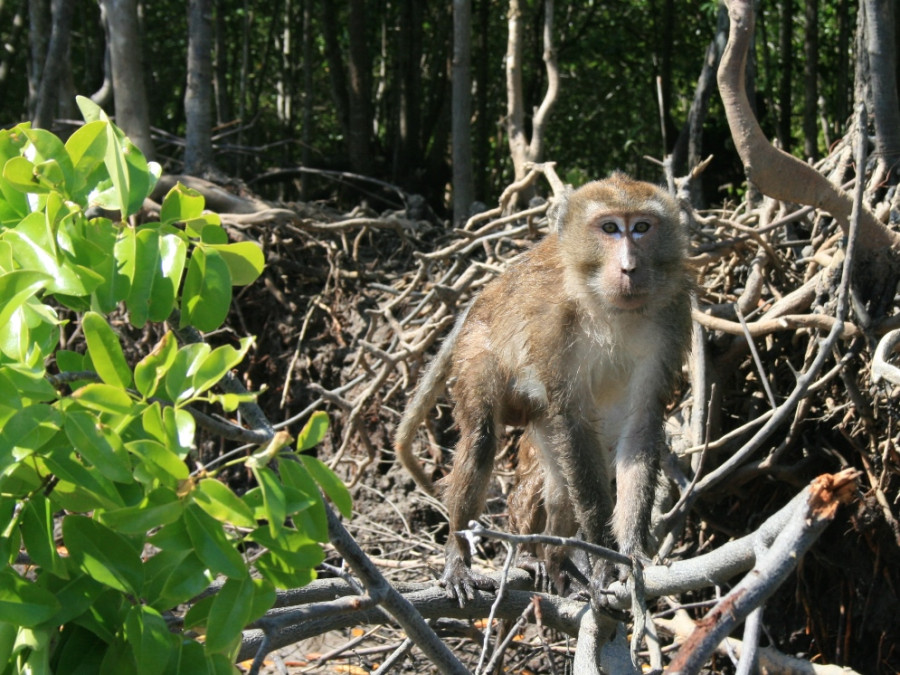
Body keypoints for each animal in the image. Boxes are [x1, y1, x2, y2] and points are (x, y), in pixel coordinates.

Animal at [392, 172, 688, 604]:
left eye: (642, 228)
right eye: (610, 228)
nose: (629, 266)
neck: (608, 309)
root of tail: (483, 295)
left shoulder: (672, 317)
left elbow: (640, 425)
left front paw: (631, 550)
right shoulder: (554, 324)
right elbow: (573, 421)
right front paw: (603, 558)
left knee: (561, 478)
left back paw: (553, 559)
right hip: (477, 347)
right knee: (482, 439)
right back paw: (462, 558)